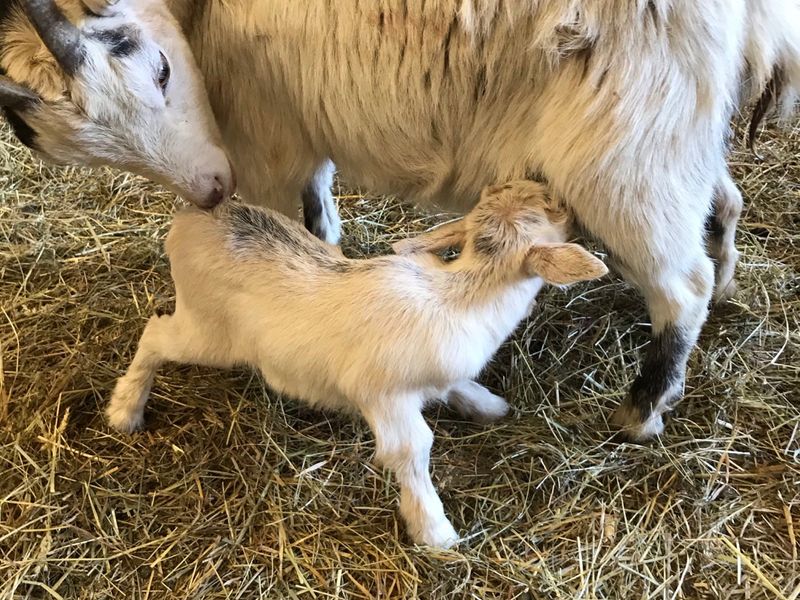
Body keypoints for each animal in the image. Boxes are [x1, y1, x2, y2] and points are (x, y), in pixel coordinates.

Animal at [3, 0, 800, 440]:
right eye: (87, 151)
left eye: (163, 70)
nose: (210, 191)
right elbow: (319, 209)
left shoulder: (263, 128)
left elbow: (286, 222)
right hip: (678, 132)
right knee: (721, 204)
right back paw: (729, 281)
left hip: (626, 149)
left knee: (680, 286)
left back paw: (642, 411)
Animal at [105, 180, 608, 547]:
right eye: (554, 209)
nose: (546, 186)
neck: (461, 294)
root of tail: (192, 219)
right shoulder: (385, 397)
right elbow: (412, 450)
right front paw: (435, 531)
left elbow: (457, 388)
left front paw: (489, 407)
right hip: (207, 333)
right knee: (154, 335)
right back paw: (125, 410)